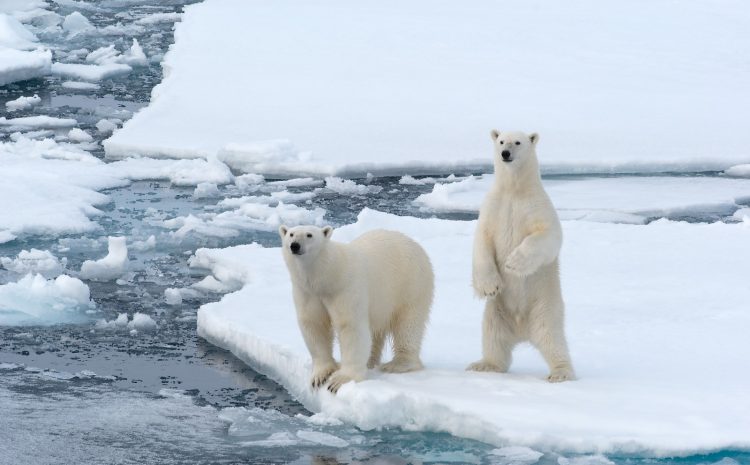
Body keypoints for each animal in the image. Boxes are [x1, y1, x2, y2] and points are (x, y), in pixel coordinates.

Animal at [280, 225, 434, 392]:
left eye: (309, 235)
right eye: (291, 234)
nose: (295, 245)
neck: (328, 276)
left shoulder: (345, 288)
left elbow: (350, 326)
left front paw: (340, 380)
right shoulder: (307, 293)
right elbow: (314, 325)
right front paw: (321, 376)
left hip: (410, 284)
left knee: (408, 324)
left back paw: (397, 364)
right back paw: (370, 361)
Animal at [468, 130, 580, 380]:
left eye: (517, 142)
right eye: (501, 141)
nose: (505, 153)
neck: (514, 191)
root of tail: (521, 329)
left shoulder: (536, 207)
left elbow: (549, 235)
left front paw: (514, 263)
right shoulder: (492, 208)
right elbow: (482, 241)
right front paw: (489, 286)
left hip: (545, 307)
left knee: (552, 338)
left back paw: (560, 372)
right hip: (496, 312)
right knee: (493, 337)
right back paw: (485, 364)